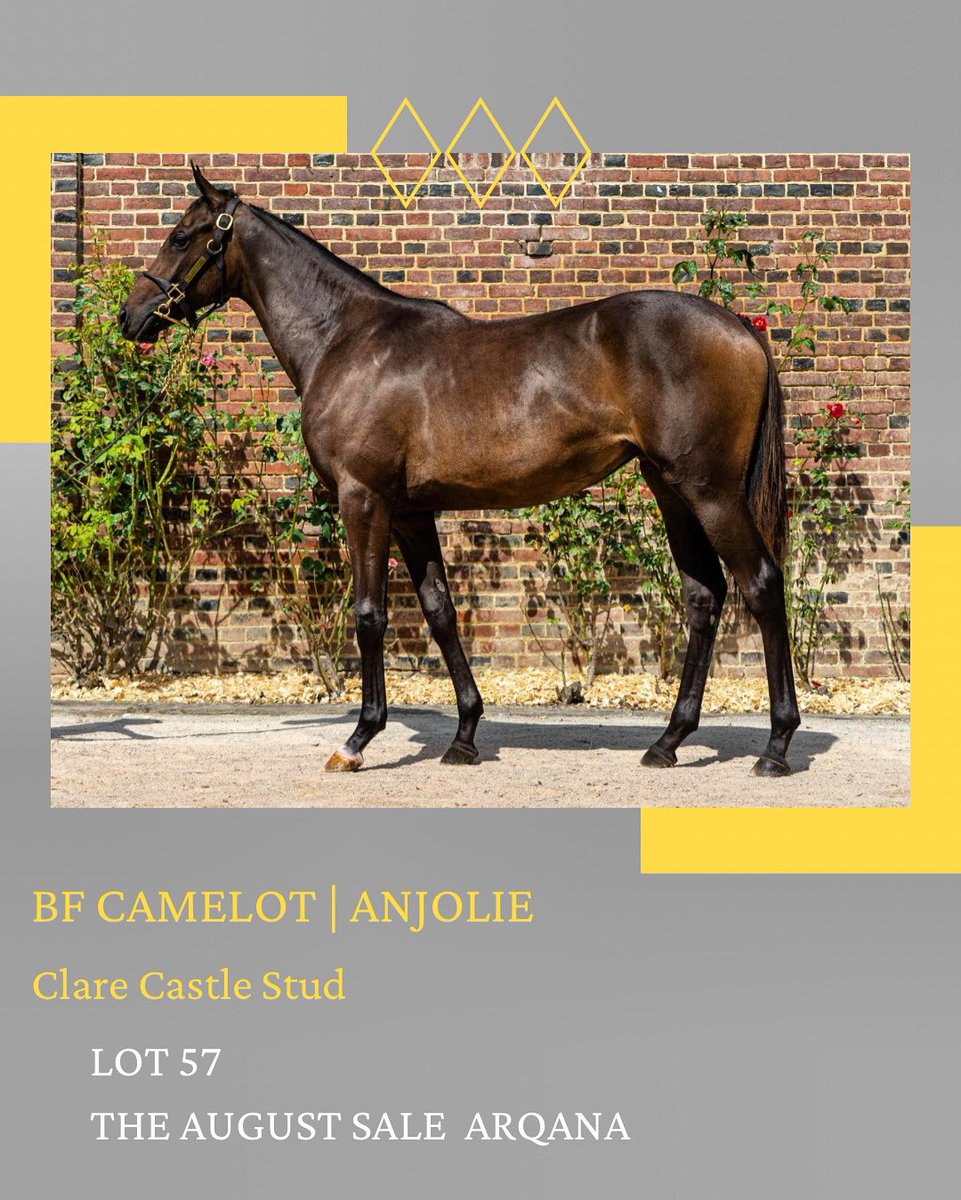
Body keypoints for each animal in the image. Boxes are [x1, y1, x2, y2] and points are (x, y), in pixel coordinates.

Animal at [119, 163, 801, 778]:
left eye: (182, 236)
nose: (131, 317)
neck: (346, 339)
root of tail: (742, 328)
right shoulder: (412, 512)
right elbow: (440, 612)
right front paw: (465, 736)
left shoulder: (363, 499)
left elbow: (371, 614)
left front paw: (358, 739)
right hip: (671, 489)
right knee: (703, 595)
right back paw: (668, 742)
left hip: (711, 492)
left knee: (762, 585)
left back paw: (775, 746)